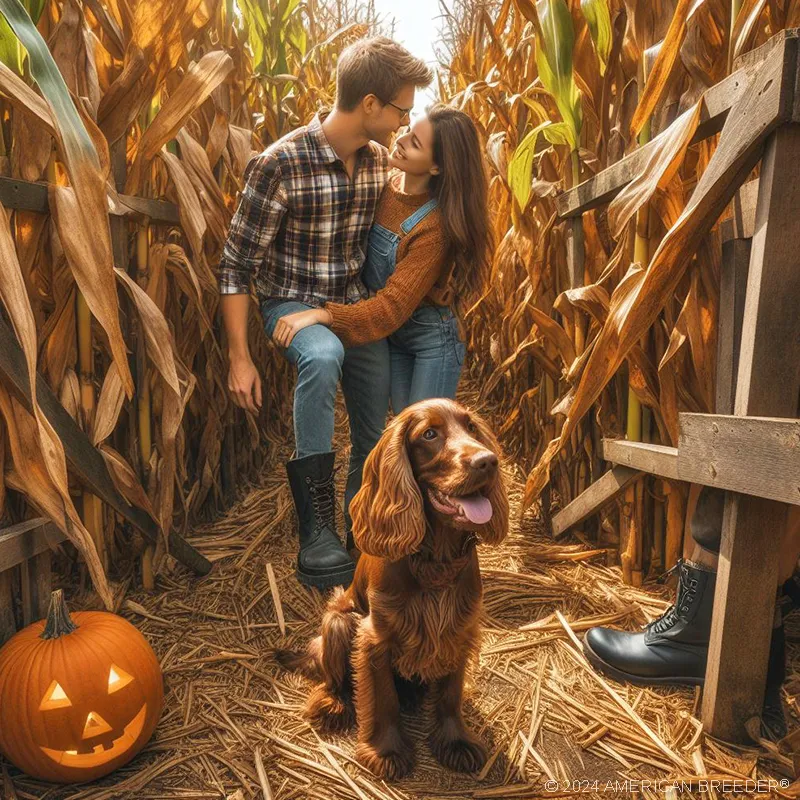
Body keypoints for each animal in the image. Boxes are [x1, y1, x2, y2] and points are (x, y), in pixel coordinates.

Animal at [278, 400, 510, 780]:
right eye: (429, 434)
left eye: (472, 428)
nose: (487, 461)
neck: (435, 558)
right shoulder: (376, 637)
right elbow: (383, 697)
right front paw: (385, 752)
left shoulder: (459, 629)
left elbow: (450, 693)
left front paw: (455, 742)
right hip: (338, 621)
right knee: (334, 680)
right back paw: (331, 704)